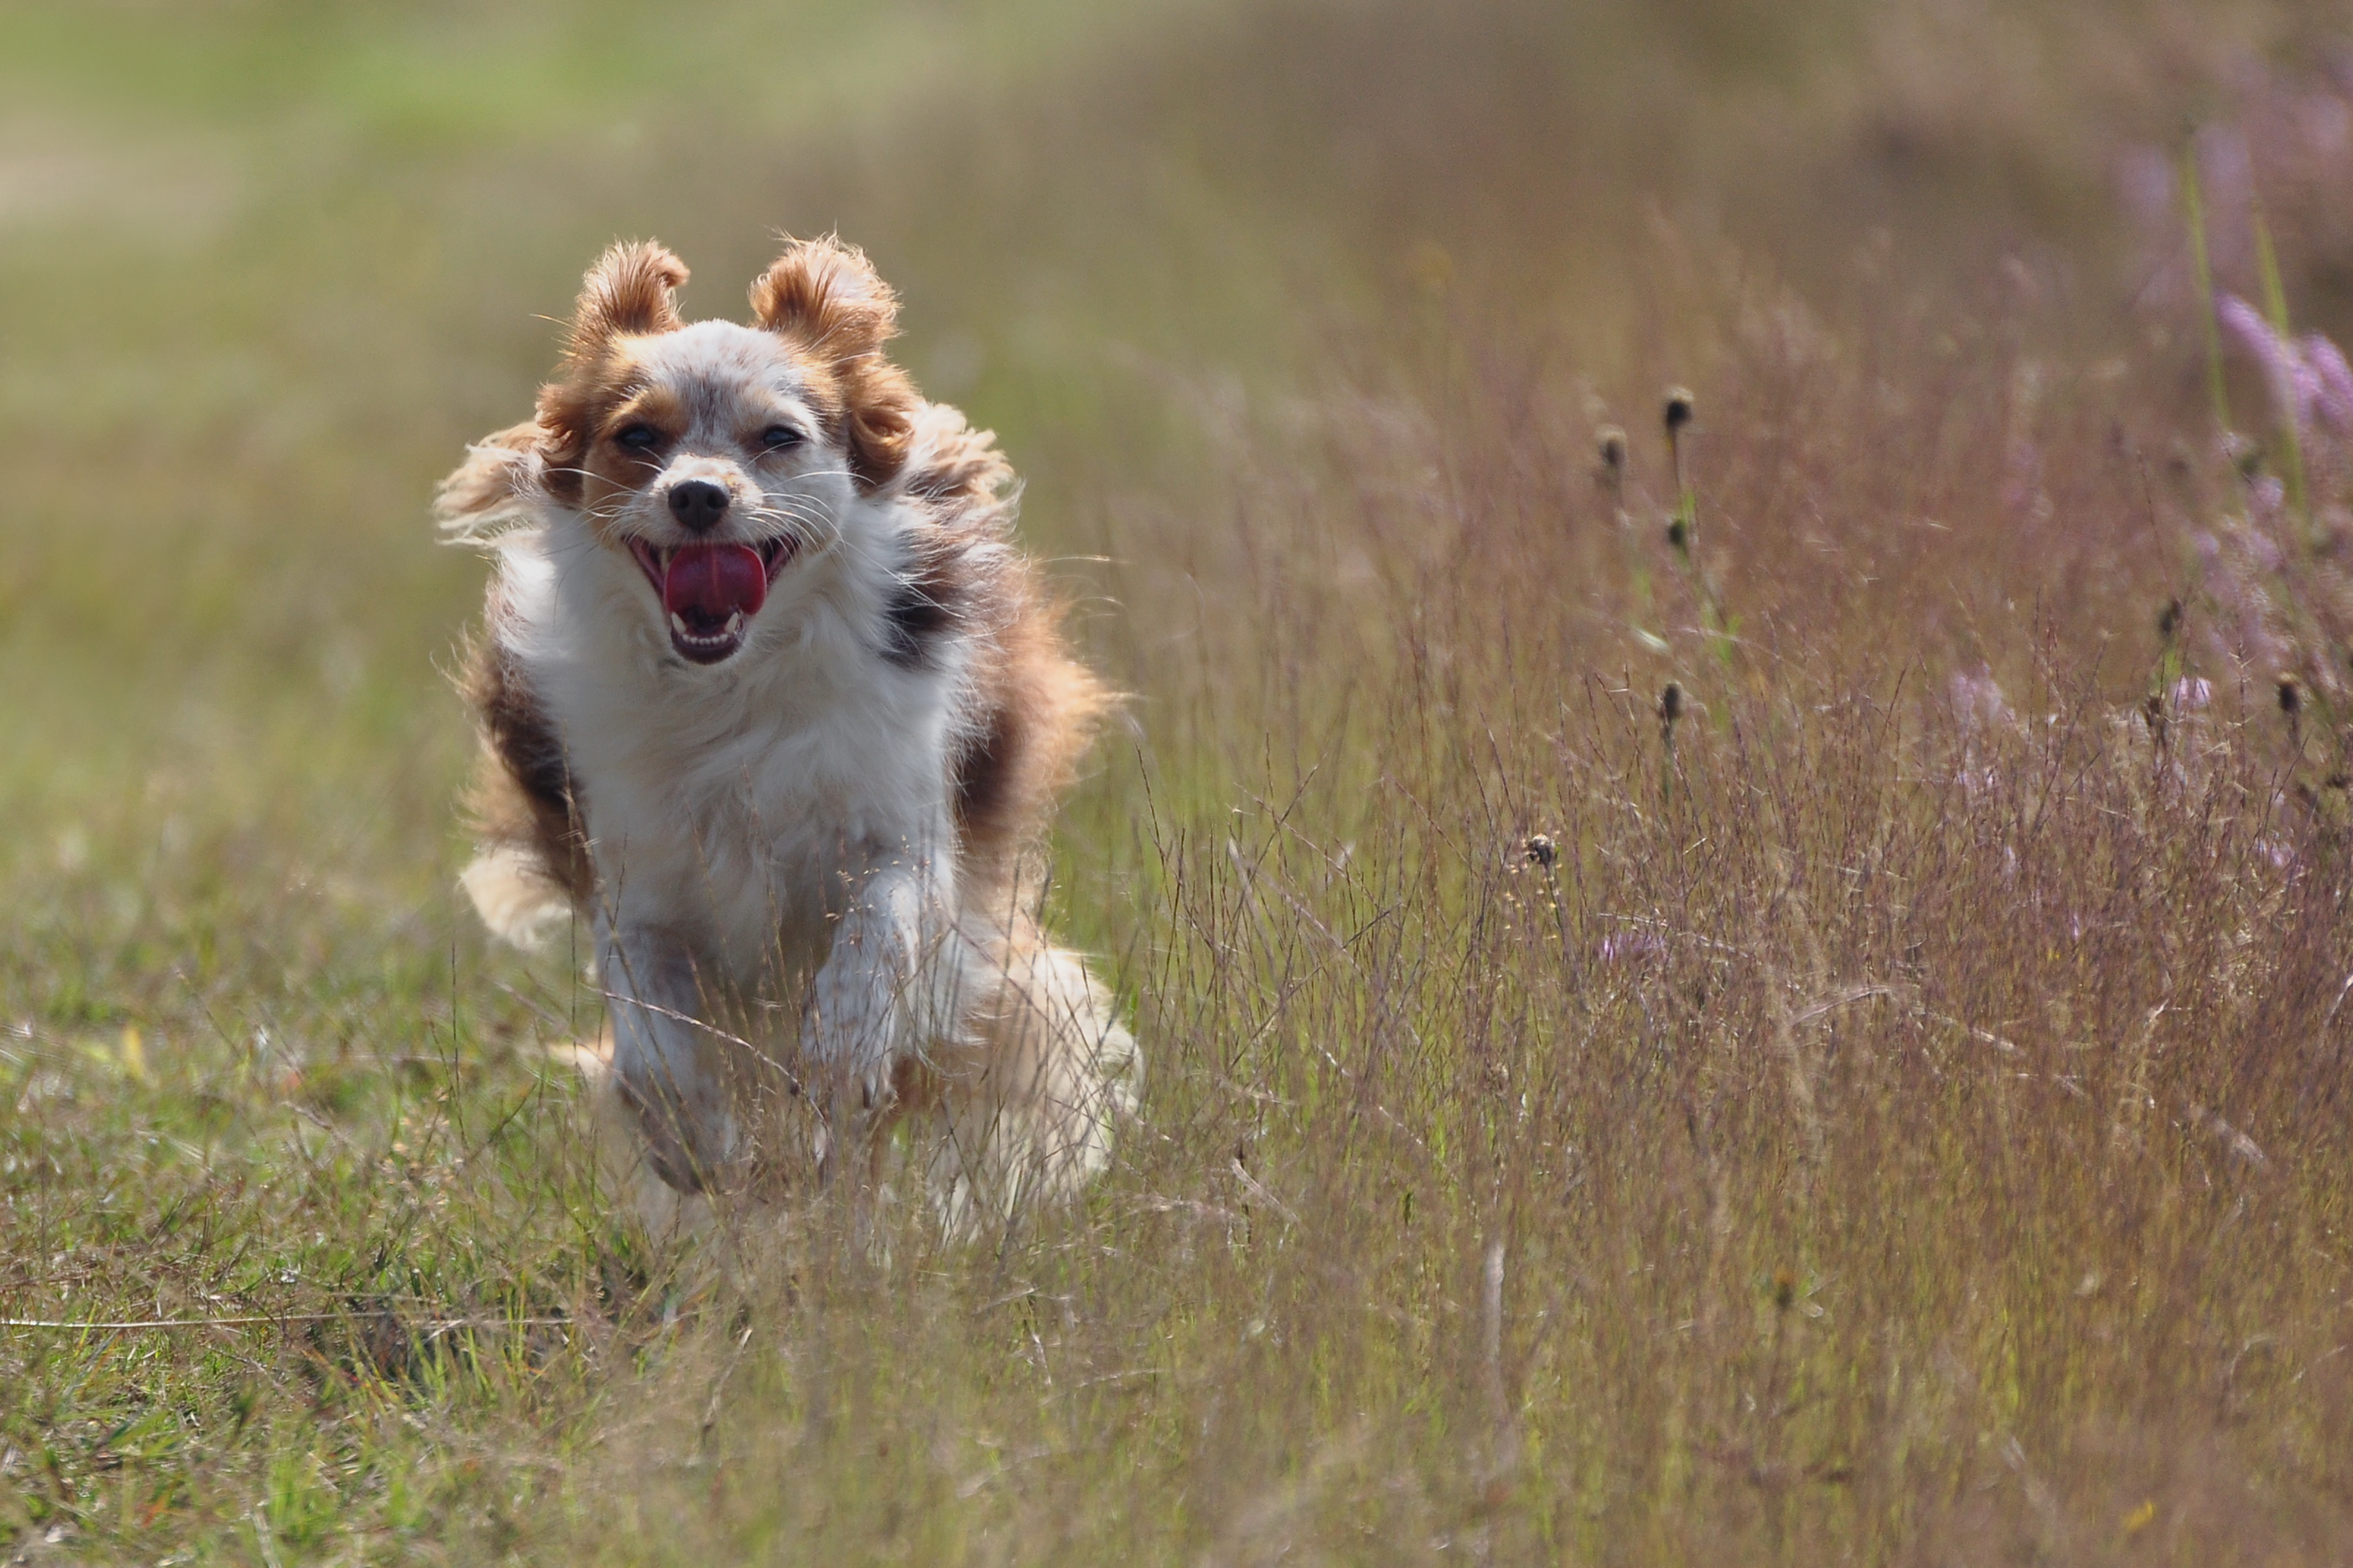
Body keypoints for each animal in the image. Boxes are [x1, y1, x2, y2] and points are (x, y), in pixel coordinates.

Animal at [442, 238, 1139, 1224]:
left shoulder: (904, 830)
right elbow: (646, 1009)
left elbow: (879, 930)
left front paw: (839, 1058)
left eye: (778, 437)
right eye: (637, 437)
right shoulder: (634, 873)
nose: (698, 494)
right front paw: (688, 1135)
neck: (731, 687)